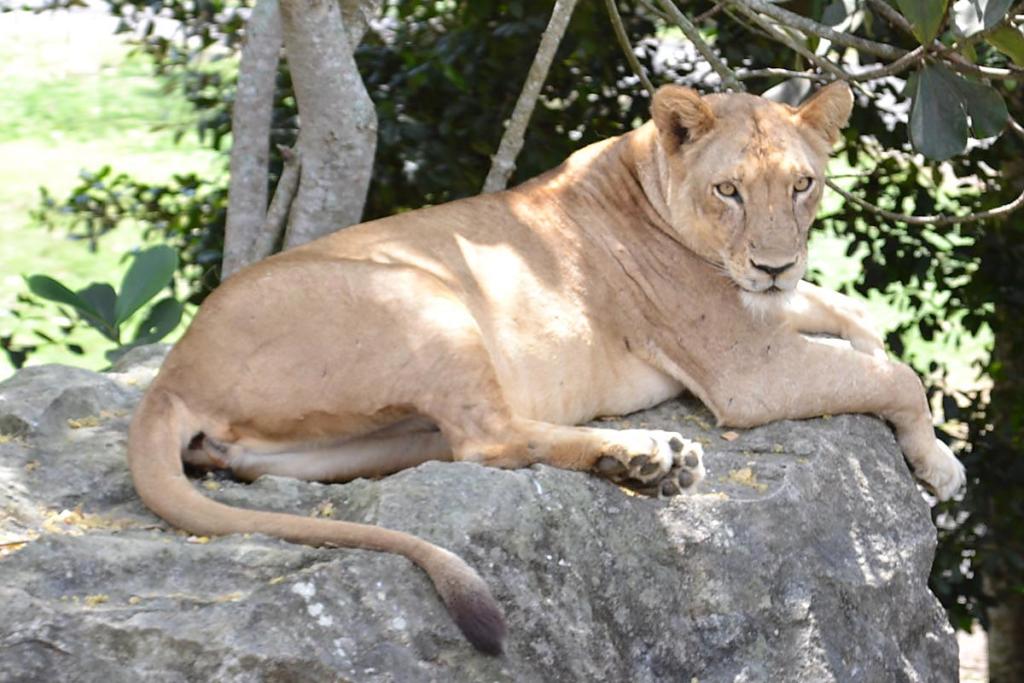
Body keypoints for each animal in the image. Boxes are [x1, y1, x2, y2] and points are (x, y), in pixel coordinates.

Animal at [127, 82, 965, 654]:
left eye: (803, 184)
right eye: (728, 190)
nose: (774, 264)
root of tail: (169, 377)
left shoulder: (765, 314)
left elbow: (852, 315)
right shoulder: (744, 367)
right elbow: (896, 376)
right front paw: (938, 463)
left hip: (363, 437)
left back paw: (643, 464)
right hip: (424, 292)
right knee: (488, 440)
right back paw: (648, 456)